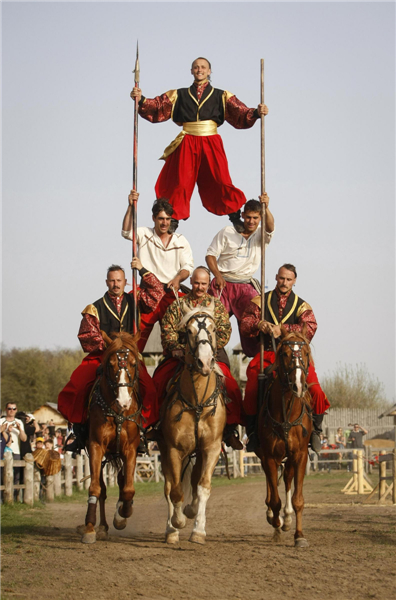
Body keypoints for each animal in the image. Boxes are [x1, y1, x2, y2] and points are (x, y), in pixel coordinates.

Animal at [80, 332, 142, 544]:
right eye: (111, 364)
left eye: (133, 363)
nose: (124, 401)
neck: (117, 412)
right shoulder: (96, 447)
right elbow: (95, 488)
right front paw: (90, 527)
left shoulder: (130, 449)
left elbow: (128, 488)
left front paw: (123, 514)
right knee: (102, 489)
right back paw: (101, 527)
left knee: (122, 481)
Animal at [157, 302, 226, 548]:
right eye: (189, 331)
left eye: (213, 329)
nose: (204, 363)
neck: (197, 403)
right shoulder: (173, 449)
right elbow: (175, 490)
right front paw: (177, 522)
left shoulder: (211, 448)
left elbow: (203, 487)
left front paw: (198, 529)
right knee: (169, 487)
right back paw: (171, 529)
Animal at [256, 328, 312, 548]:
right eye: (285, 354)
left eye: (305, 353)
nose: (298, 385)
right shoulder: (270, 457)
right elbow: (275, 499)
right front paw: (276, 525)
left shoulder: (300, 455)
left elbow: (298, 499)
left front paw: (299, 536)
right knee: (271, 487)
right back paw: (274, 518)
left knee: (287, 479)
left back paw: (287, 519)